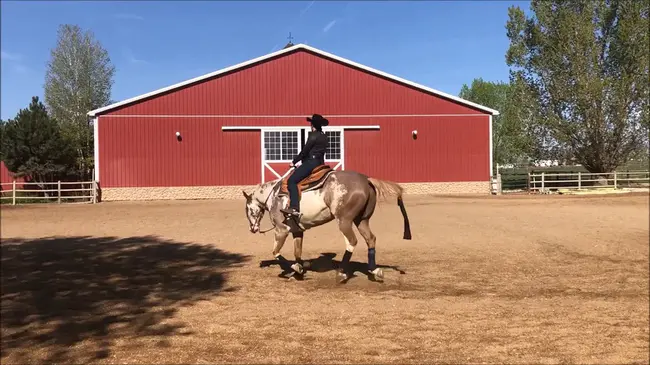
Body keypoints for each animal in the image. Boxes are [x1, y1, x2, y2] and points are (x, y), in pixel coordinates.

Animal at [243, 164, 410, 282]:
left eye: (248, 209)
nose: (252, 228)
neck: (274, 195)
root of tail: (366, 179)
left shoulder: (281, 230)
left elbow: (276, 252)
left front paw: (295, 269)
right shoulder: (297, 231)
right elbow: (297, 252)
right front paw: (298, 270)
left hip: (344, 221)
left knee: (351, 241)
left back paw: (341, 273)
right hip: (361, 220)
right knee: (370, 239)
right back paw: (375, 270)